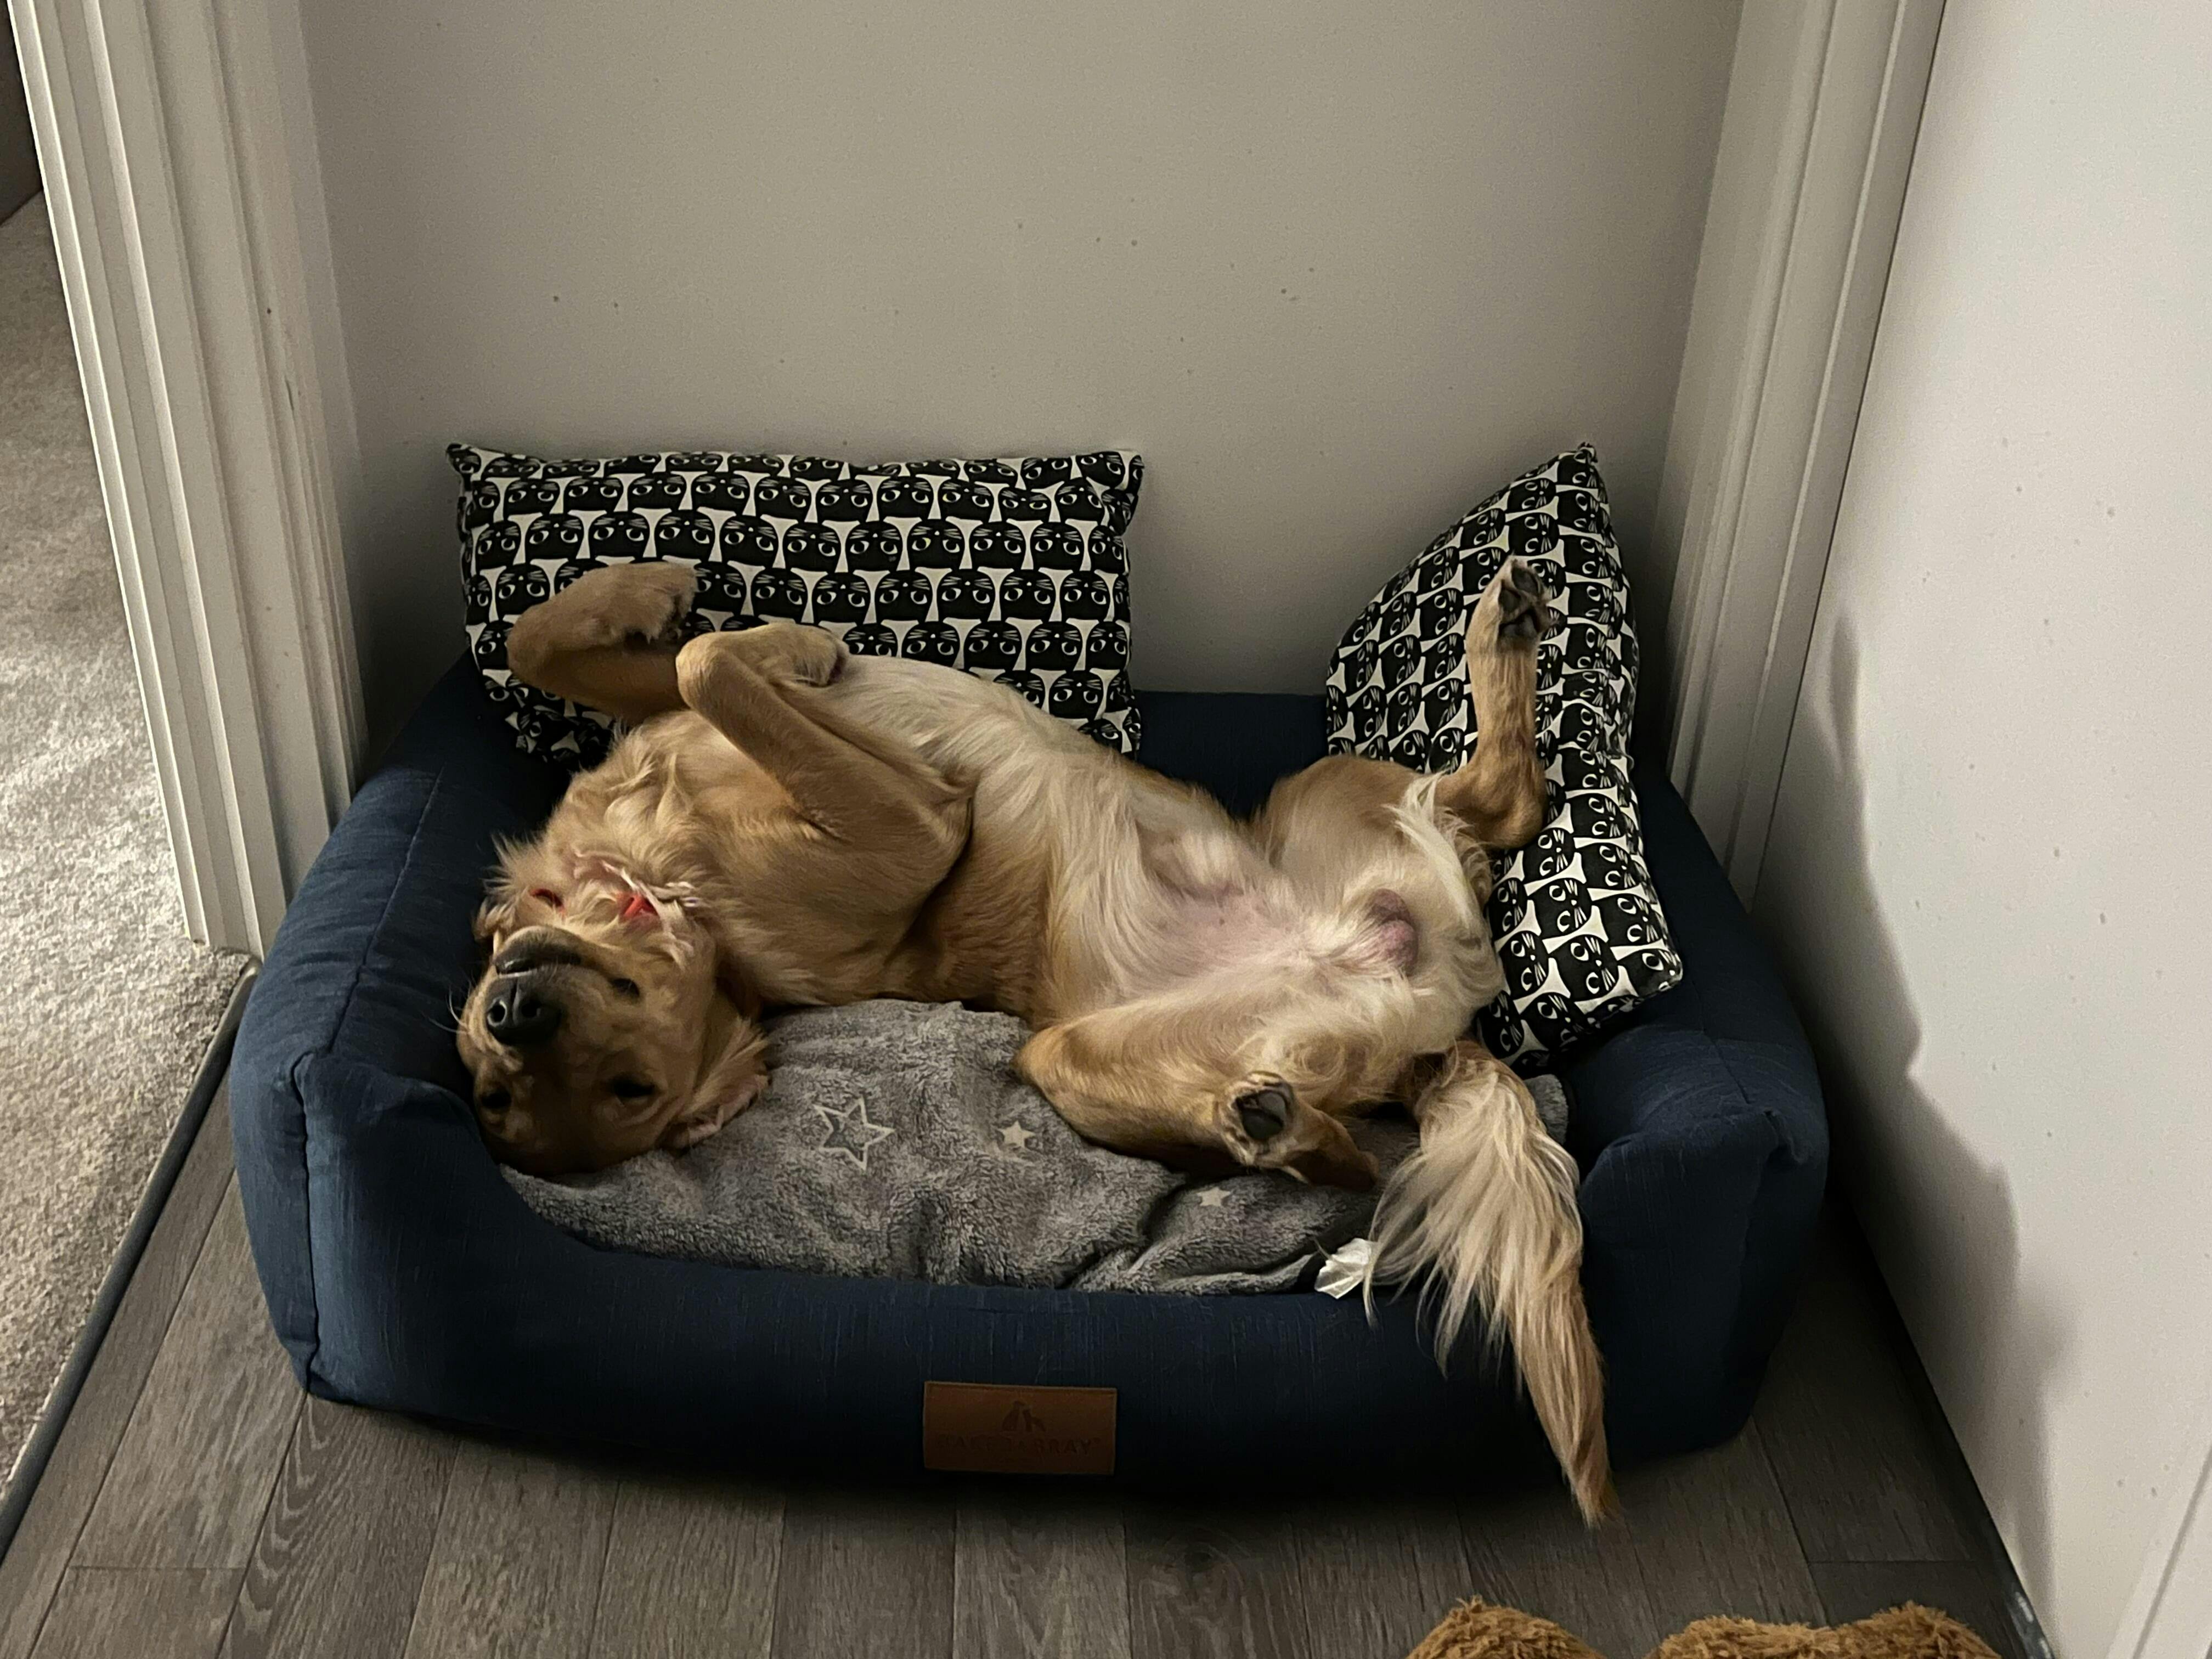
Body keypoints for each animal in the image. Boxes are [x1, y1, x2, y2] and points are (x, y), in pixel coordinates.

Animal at [457, 557, 1611, 1519]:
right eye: (513, 1089)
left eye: (623, 1087)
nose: (517, 1013)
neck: (674, 886)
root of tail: (1418, 1019)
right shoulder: (916, 824)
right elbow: (705, 667)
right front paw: (764, 636)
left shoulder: (686, 726)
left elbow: (577, 646)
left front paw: (673, 596)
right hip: (1080, 1047)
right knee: (1365, 1101)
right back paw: (1271, 1121)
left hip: (1319, 790)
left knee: (1494, 802)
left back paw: (1501, 631)